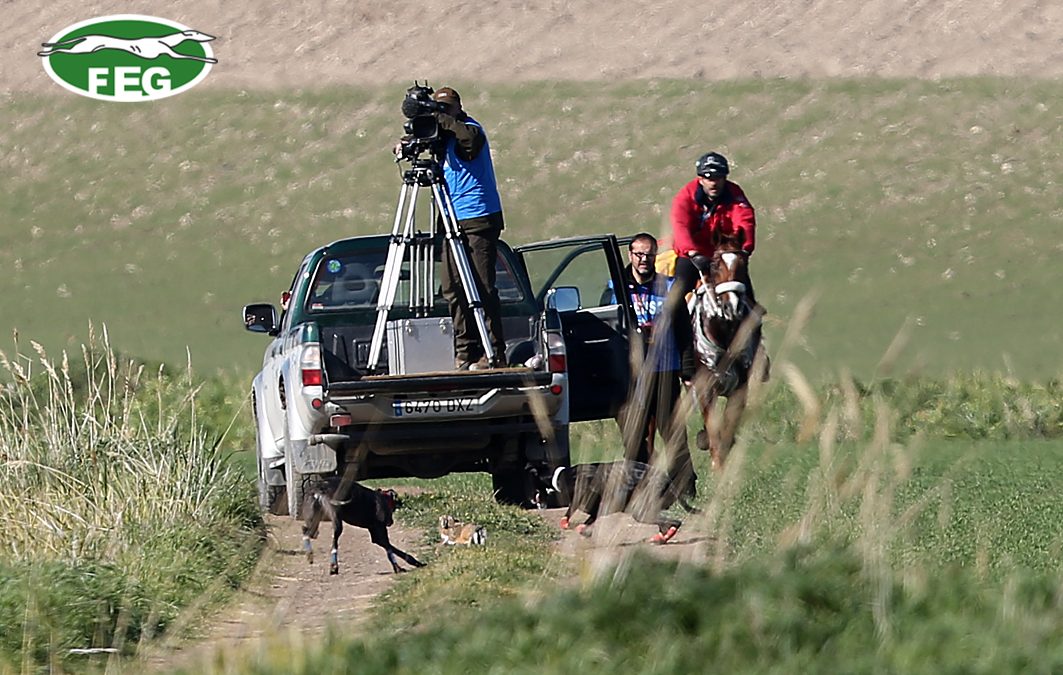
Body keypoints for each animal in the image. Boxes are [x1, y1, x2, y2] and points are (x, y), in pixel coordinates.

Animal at [550, 460, 699, 544]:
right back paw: (661, 538)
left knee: (675, 522)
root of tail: (668, 480)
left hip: (641, 513)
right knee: (667, 524)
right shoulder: (593, 512)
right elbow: (583, 525)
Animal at [686, 229, 766, 470]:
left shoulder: (740, 388)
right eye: (714, 264)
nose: (732, 306)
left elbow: (728, 431)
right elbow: (714, 434)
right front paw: (718, 467)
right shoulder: (705, 389)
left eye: (743, 263)